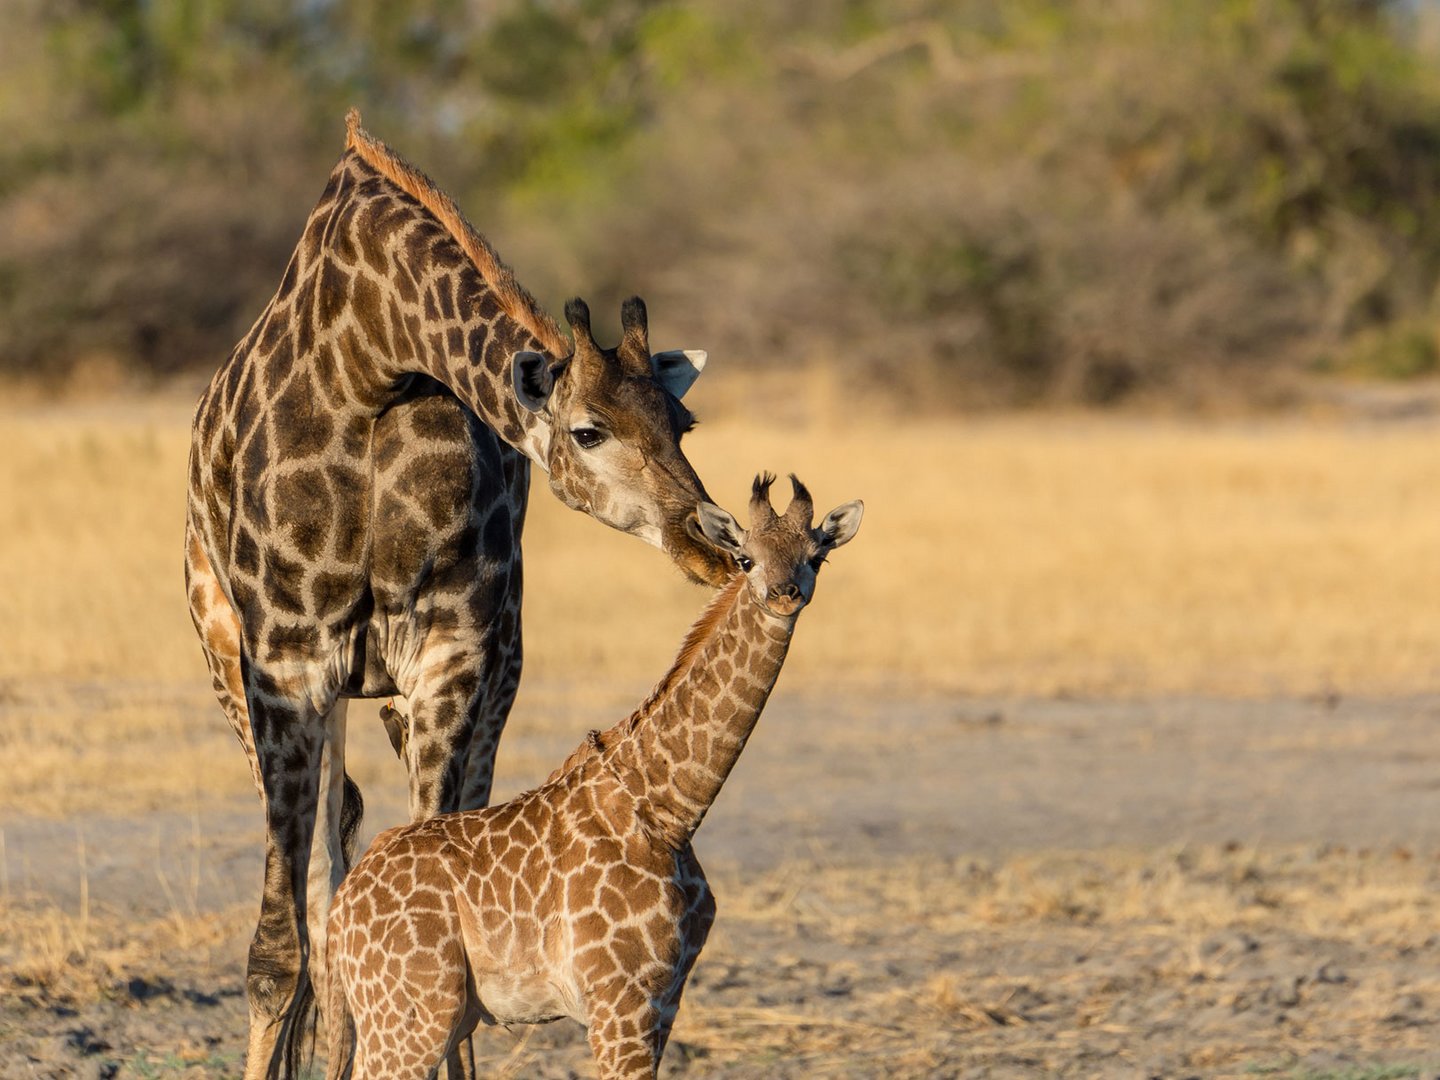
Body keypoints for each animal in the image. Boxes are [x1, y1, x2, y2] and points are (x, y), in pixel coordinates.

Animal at [185, 112, 731, 1080]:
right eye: (587, 431)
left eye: (683, 422)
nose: (712, 541)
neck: (371, 362)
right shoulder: (284, 663)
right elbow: (277, 952)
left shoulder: (451, 652)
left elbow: (434, 882)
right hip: (230, 663)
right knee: (327, 884)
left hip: (476, 677)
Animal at [324, 478, 852, 1080]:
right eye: (746, 558)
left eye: (817, 556)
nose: (785, 594)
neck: (671, 807)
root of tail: (340, 912)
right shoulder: (620, 1000)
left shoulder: (664, 1001)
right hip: (410, 1017)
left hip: (428, 1016)